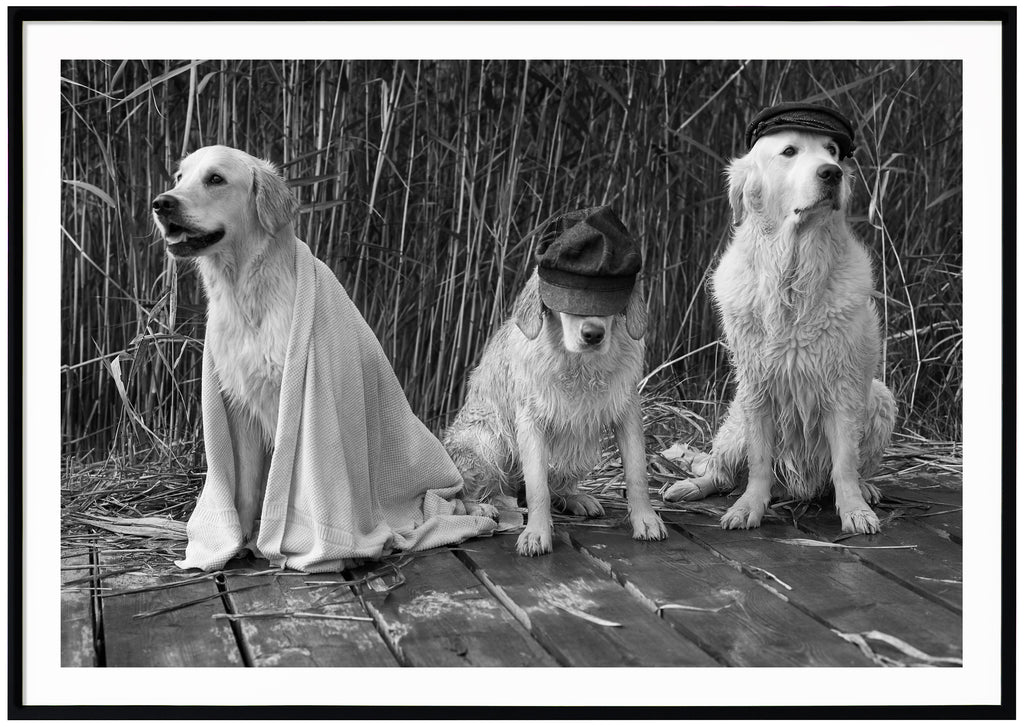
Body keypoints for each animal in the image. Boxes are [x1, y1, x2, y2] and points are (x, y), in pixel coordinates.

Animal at [150, 145, 299, 540]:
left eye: (215, 179)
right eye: (179, 177)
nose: (161, 203)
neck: (245, 298)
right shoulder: (241, 405)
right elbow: (245, 488)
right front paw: (239, 540)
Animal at [442, 206, 667, 557]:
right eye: (569, 304)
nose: (592, 334)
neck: (579, 365)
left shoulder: (628, 411)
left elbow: (637, 474)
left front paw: (646, 519)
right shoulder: (530, 421)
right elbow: (538, 489)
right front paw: (536, 533)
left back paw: (575, 498)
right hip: (487, 440)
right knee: (465, 495)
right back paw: (482, 507)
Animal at [663, 100, 897, 536]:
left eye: (832, 151)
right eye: (789, 151)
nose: (831, 173)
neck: (793, 271)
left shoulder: (842, 390)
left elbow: (845, 464)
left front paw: (855, 509)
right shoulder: (757, 388)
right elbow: (758, 465)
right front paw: (748, 508)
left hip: (879, 397)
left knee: (856, 467)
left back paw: (867, 489)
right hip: (736, 419)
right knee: (721, 472)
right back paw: (690, 486)